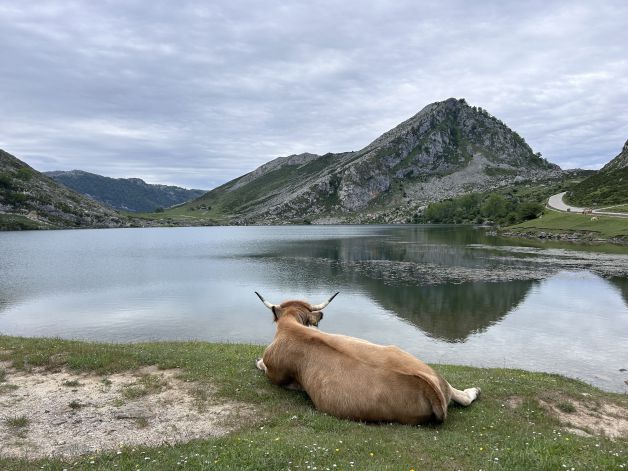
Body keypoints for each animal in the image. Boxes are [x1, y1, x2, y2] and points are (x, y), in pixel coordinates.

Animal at [254, 294, 480, 426]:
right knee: (460, 395)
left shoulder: (274, 373)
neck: (291, 326)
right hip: (421, 365)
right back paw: (474, 391)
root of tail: (429, 386)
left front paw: (258, 361)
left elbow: (263, 365)